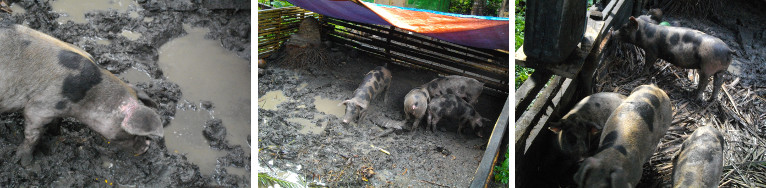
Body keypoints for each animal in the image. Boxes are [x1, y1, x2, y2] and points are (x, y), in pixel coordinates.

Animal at [0, 22, 165, 165]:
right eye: (131, 133)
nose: (146, 147)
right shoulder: (40, 107)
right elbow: (32, 135)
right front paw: (23, 162)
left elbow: (57, 121)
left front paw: (56, 134)